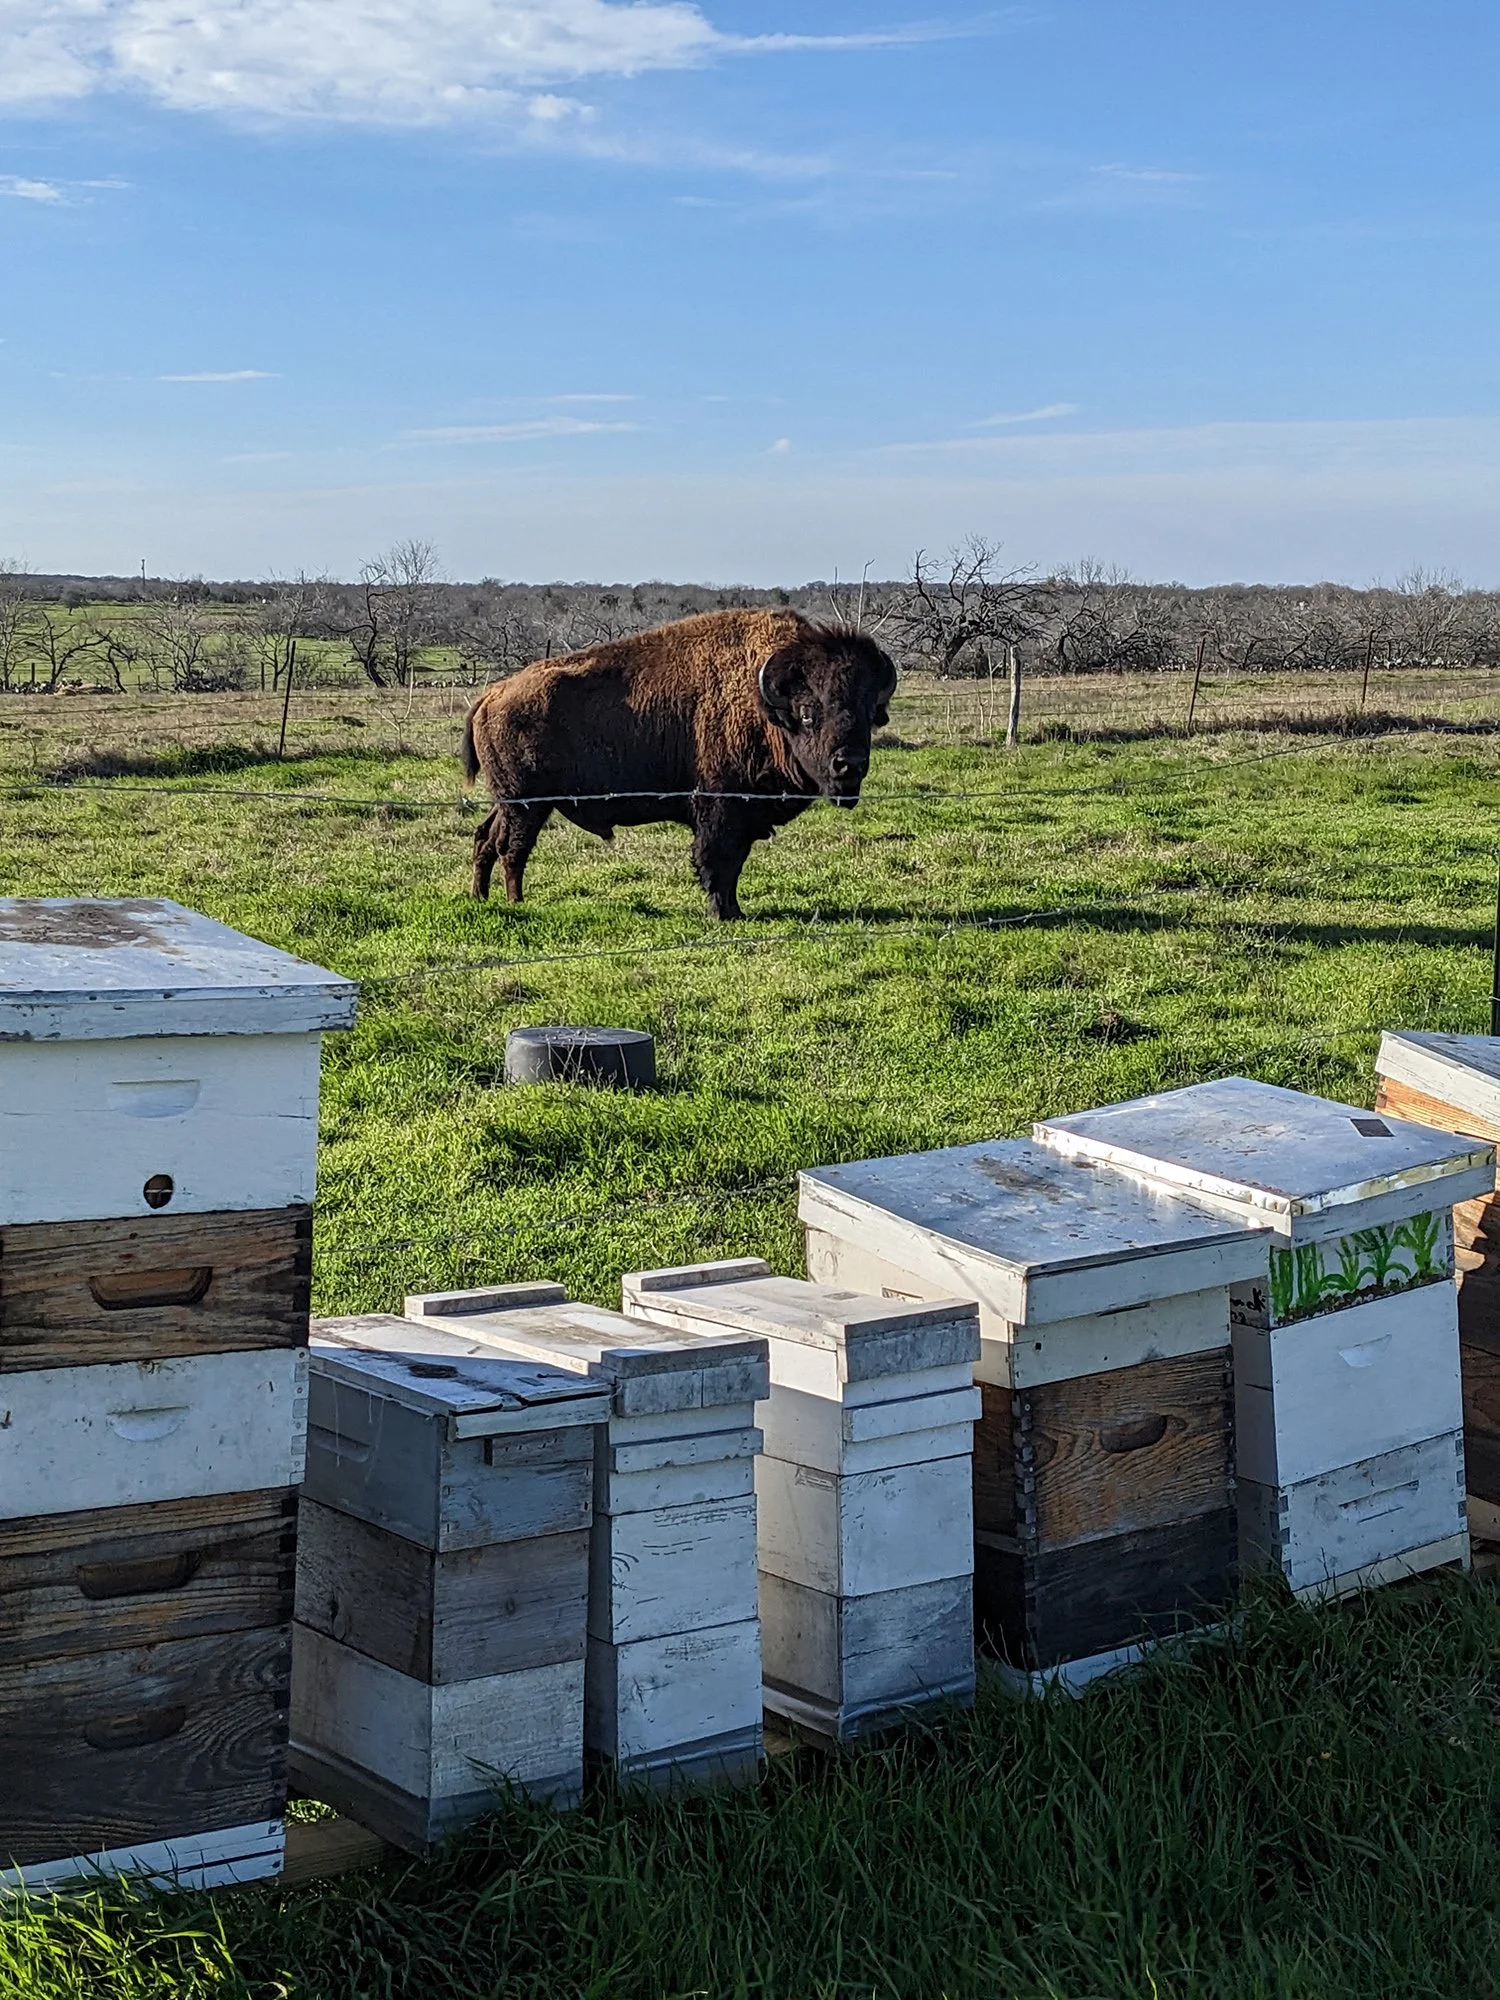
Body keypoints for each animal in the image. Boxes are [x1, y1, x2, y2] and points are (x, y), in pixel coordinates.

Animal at [460, 609, 898, 920]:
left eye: (868, 712)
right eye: (808, 713)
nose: (849, 765)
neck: (763, 706)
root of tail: (492, 696)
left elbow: (733, 864)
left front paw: (734, 911)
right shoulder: (720, 810)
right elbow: (717, 861)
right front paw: (724, 914)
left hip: (509, 802)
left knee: (485, 839)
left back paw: (481, 899)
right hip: (527, 805)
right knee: (512, 848)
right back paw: (516, 903)